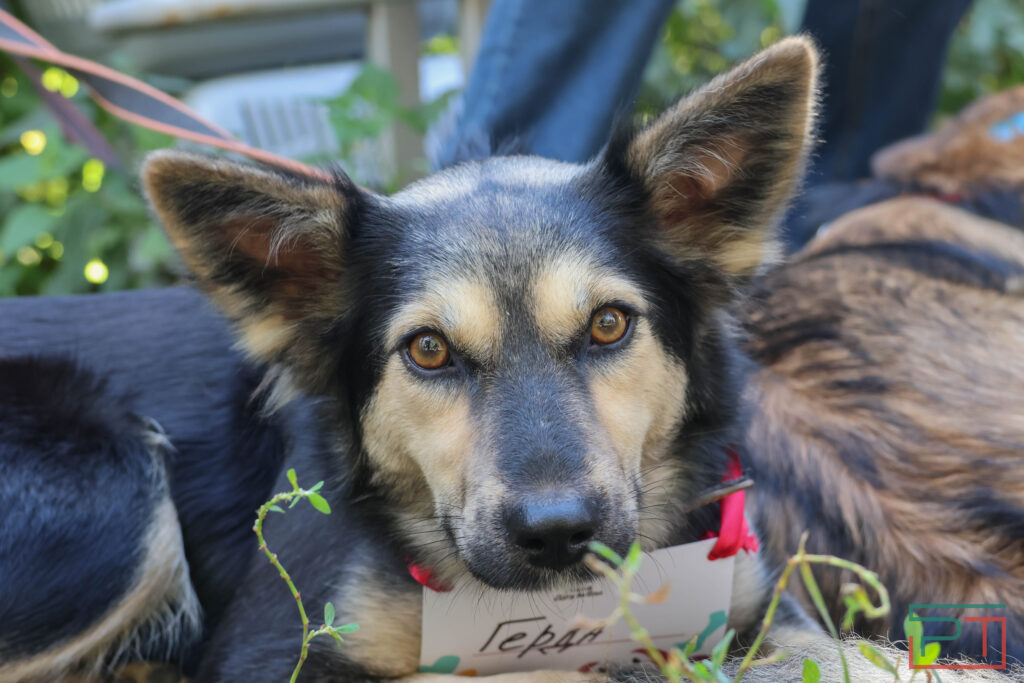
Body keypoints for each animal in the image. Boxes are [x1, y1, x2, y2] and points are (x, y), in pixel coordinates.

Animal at [2, 38, 1024, 683]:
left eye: (609, 325)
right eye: (428, 349)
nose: (556, 532)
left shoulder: (757, 603)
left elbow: (854, 655)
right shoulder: (270, 652)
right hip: (107, 479)